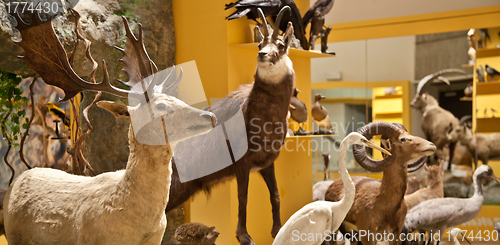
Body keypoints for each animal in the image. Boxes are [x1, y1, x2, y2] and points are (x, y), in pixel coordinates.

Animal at [2, 10, 217, 244]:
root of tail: (17, 180)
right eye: (160, 106)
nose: (210, 115)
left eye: (175, 98)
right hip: (14, 235)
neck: (140, 227)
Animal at [166, 7, 294, 245]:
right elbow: (243, 197)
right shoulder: (242, 164)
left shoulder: (267, 163)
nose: (262, 55)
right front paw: (244, 236)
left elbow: (275, 195)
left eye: (281, 45)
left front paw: (277, 230)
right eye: (259, 44)